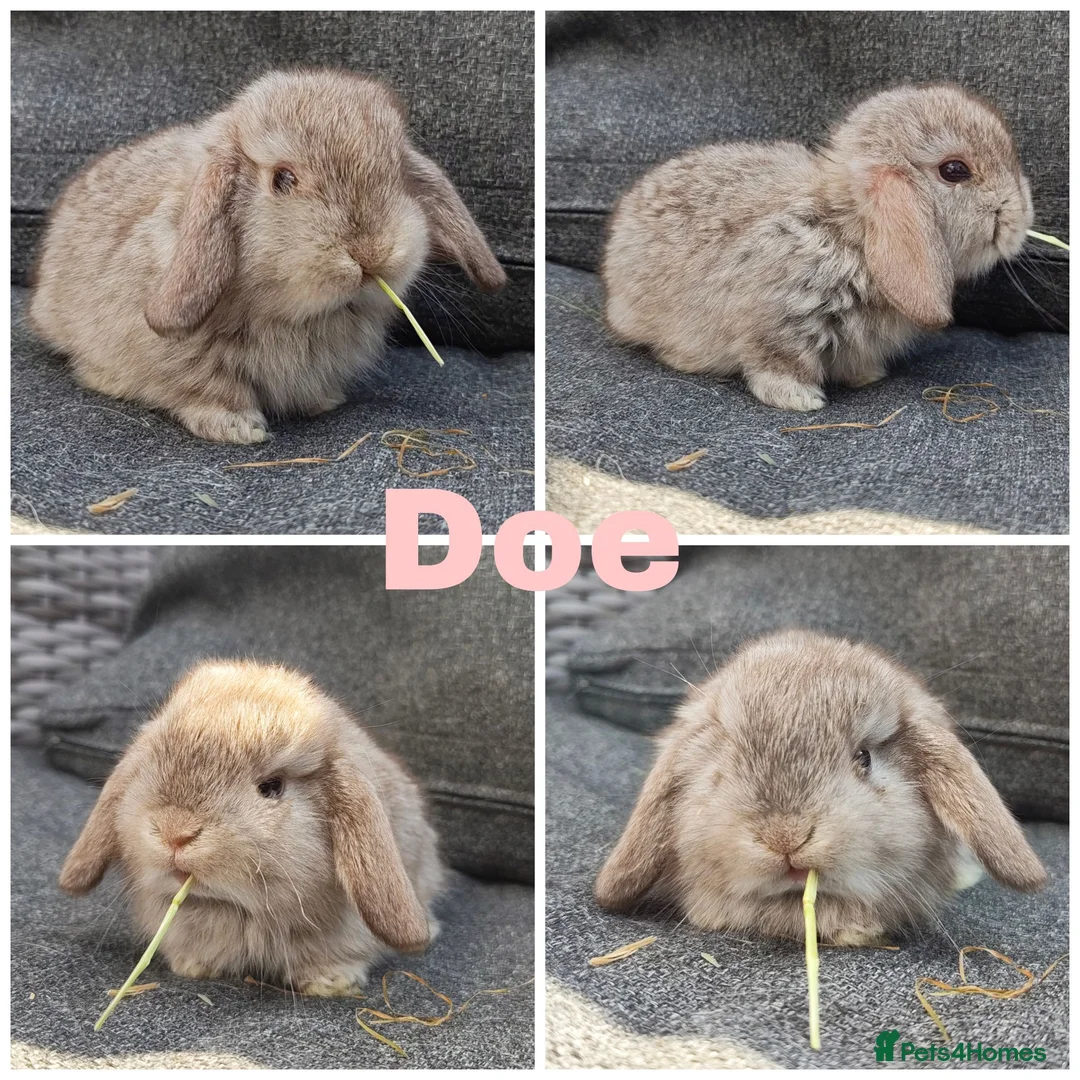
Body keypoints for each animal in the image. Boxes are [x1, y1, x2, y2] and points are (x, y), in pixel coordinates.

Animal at [28, 68, 506, 443]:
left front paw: (324, 402)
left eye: (398, 174)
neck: (294, 316)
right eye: (283, 179)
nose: (371, 253)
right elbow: (209, 390)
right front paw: (240, 429)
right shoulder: (185, 362)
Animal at [59, 660, 445, 995]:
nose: (175, 832)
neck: (237, 909)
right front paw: (193, 966)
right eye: (154, 762)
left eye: (272, 787)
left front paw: (330, 984)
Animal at [602, 84, 1033, 411]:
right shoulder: (778, 322)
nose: (1022, 214)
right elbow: (778, 363)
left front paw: (867, 377)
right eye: (954, 170)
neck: (852, 233)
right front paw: (802, 401)